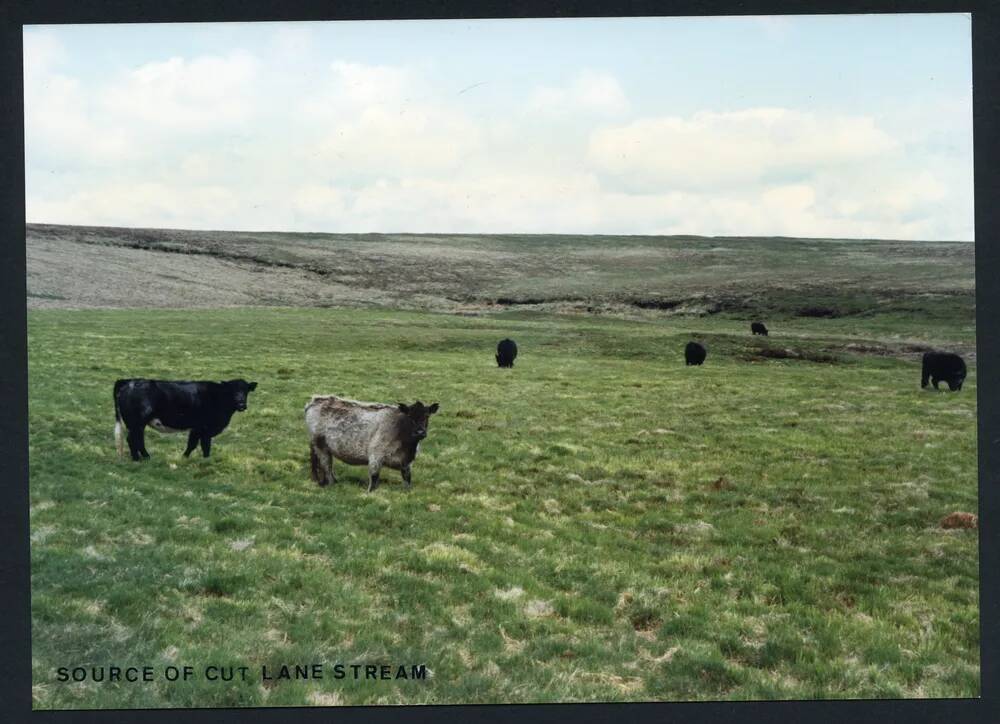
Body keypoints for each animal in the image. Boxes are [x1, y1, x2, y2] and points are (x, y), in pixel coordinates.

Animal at [113, 376, 258, 460]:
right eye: (232, 391)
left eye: (246, 390)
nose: (241, 404)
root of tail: (130, 381)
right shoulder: (205, 429)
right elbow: (205, 446)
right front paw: (206, 461)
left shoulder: (196, 429)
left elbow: (192, 444)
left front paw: (184, 457)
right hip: (136, 423)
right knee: (132, 439)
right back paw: (137, 458)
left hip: (138, 424)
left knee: (138, 439)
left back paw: (146, 457)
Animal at [304, 396, 438, 492]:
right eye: (409, 416)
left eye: (427, 415)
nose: (420, 432)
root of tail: (316, 400)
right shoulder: (375, 456)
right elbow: (374, 481)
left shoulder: (407, 464)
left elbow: (407, 481)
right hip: (320, 445)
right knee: (326, 466)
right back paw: (331, 484)